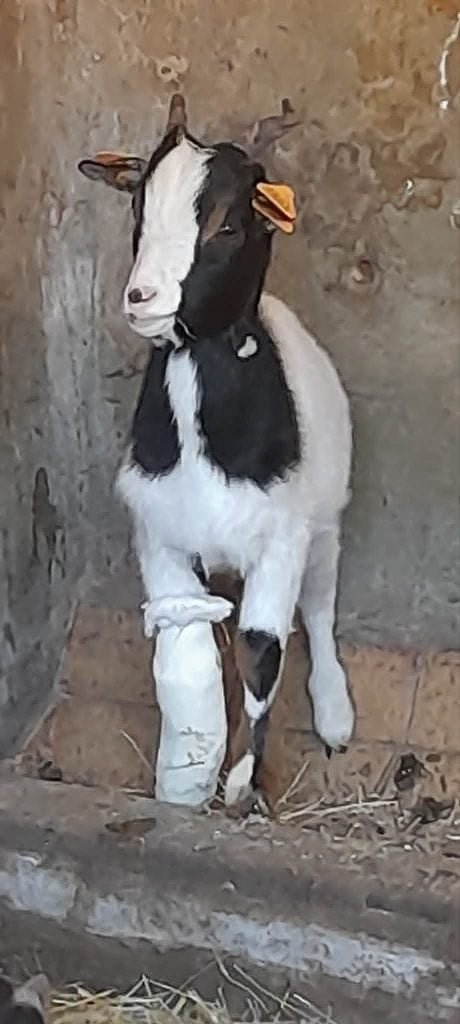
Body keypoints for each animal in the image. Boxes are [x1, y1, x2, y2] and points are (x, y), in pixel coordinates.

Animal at [78, 94, 355, 805]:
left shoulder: (281, 537)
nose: (142, 298)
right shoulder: (161, 537)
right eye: (139, 208)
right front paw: (186, 782)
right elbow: (190, 651)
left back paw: (335, 714)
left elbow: (262, 652)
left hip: (326, 521)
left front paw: (241, 788)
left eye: (228, 225)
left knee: (319, 607)